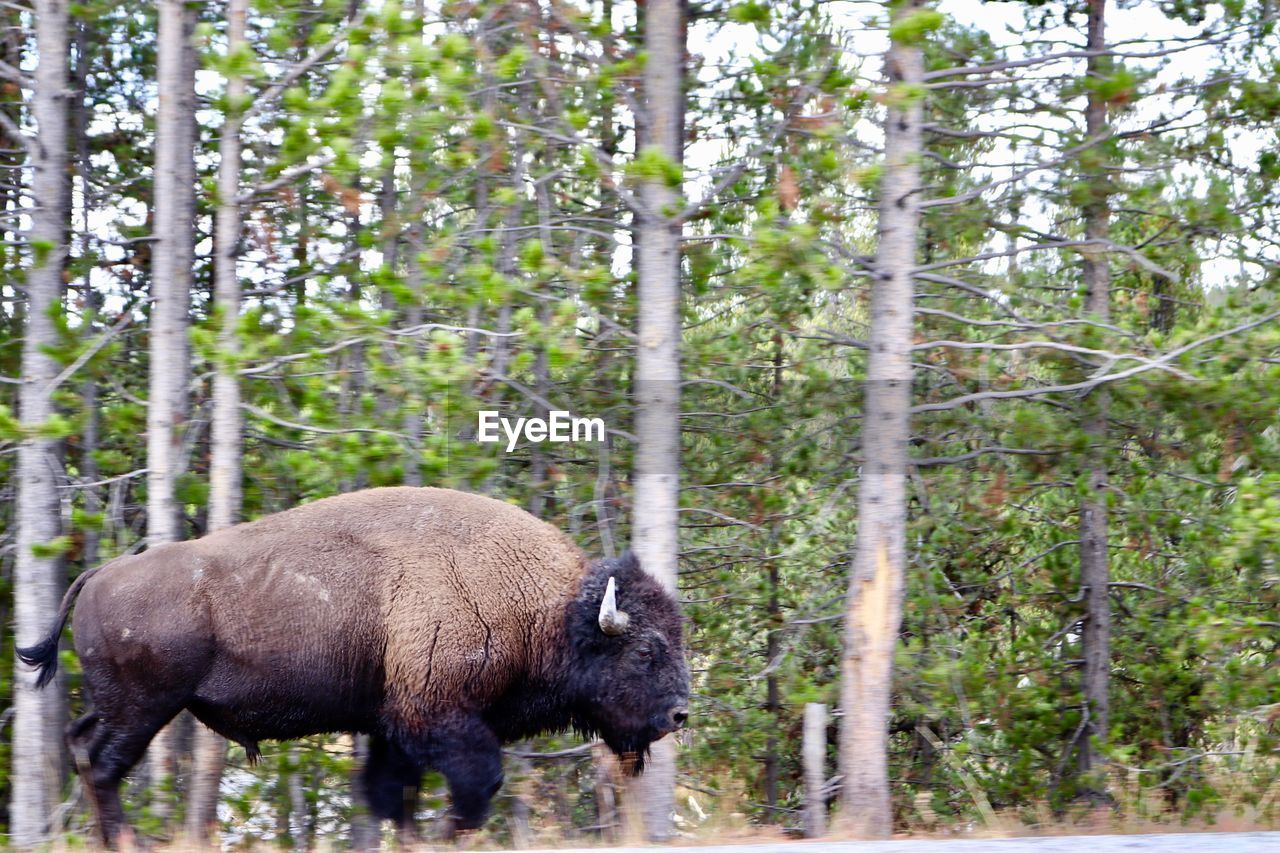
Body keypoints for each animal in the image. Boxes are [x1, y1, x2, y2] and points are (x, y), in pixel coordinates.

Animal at [17, 484, 691, 845]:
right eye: (645, 651)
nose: (680, 714)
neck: (545, 608)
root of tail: (103, 571)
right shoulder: (441, 718)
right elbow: (473, 786)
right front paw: (444, 837)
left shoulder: (393, 726)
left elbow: (390, 796)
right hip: (144, 709)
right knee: (104, 766)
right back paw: (125, 841)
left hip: (120, 706)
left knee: (82, 747)